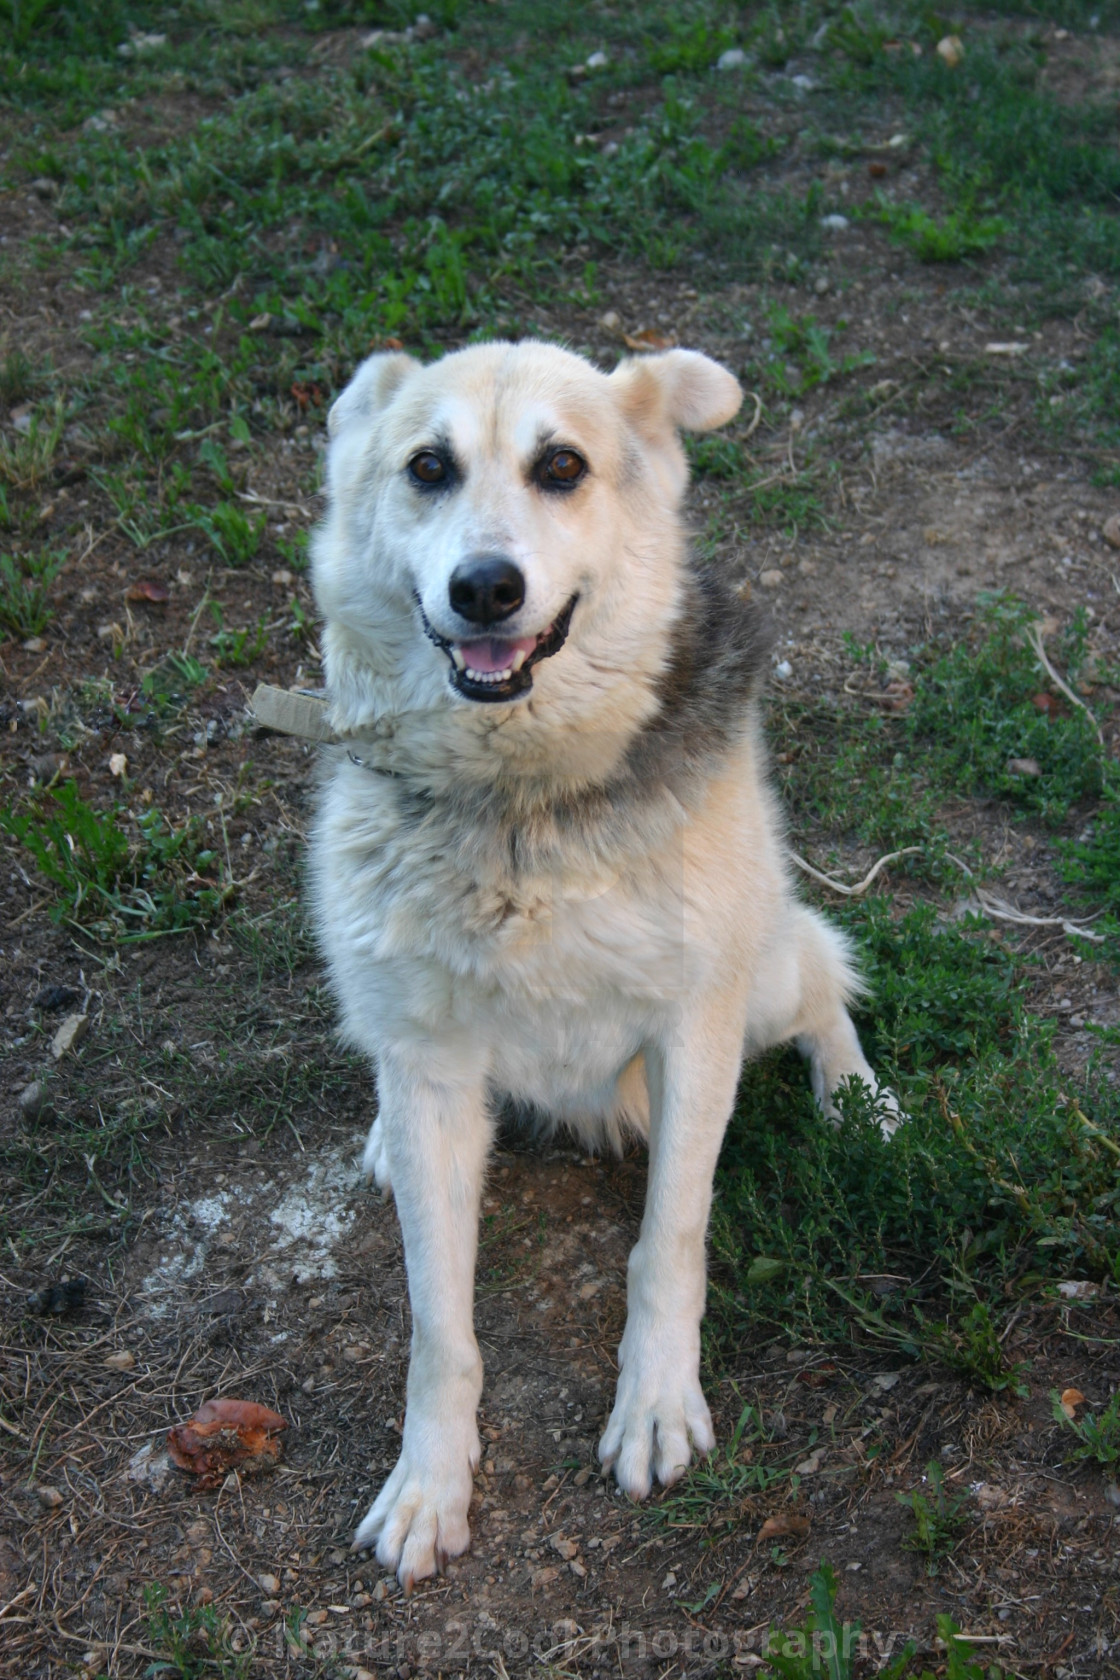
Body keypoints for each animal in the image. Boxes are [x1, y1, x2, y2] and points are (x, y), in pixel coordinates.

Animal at [308, 337, 900, 1585]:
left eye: (561, 466)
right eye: (427, 466)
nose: (485, 588)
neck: (518, 803)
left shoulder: (693, 1032)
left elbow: (666, 1244)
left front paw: (656, 1406)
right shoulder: (434, 1068)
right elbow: (438, 1323)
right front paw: (430, 1480)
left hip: (763, 967)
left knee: (823, 982)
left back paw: (860, 1101)